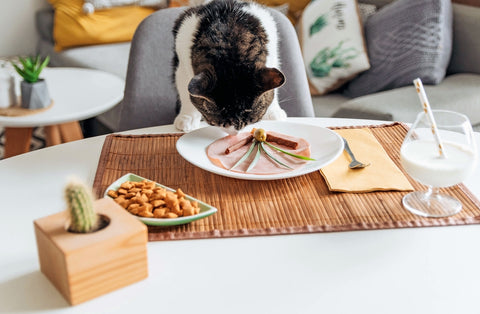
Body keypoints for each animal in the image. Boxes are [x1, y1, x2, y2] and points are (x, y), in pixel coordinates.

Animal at [172, 0, 286, 134]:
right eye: (217, 123)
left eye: (251, 121)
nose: (235, 133)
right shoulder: (182, 64)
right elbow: (185, 93)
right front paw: (187, 118)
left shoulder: (272, 55)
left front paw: (274, 111)